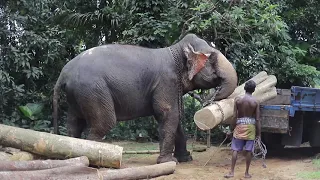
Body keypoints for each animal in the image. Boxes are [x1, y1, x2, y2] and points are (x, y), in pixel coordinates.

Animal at [52, 33, 238, 165]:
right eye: (212, 58)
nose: (211, 97)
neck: (175, 50)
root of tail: (63, 73)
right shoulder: (166, 81)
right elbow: (168, 114)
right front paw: (169, 162)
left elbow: (176, 117)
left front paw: (186, 159)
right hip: (93, 90)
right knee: (103, 124)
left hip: (77, 95)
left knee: (74, 124)